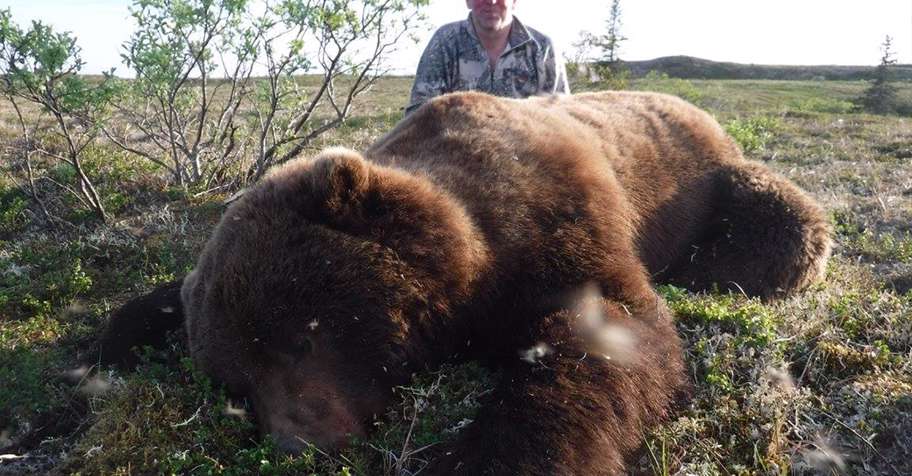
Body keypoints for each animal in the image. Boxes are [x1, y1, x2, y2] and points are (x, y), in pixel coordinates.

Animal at [98, 91, 831, 474]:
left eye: (300, 338)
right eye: (237, 382)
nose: (297, 443)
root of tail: (703, 112)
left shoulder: (560, 226)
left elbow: (603, 337)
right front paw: (111, 337)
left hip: (718, 181)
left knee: (786, 231)